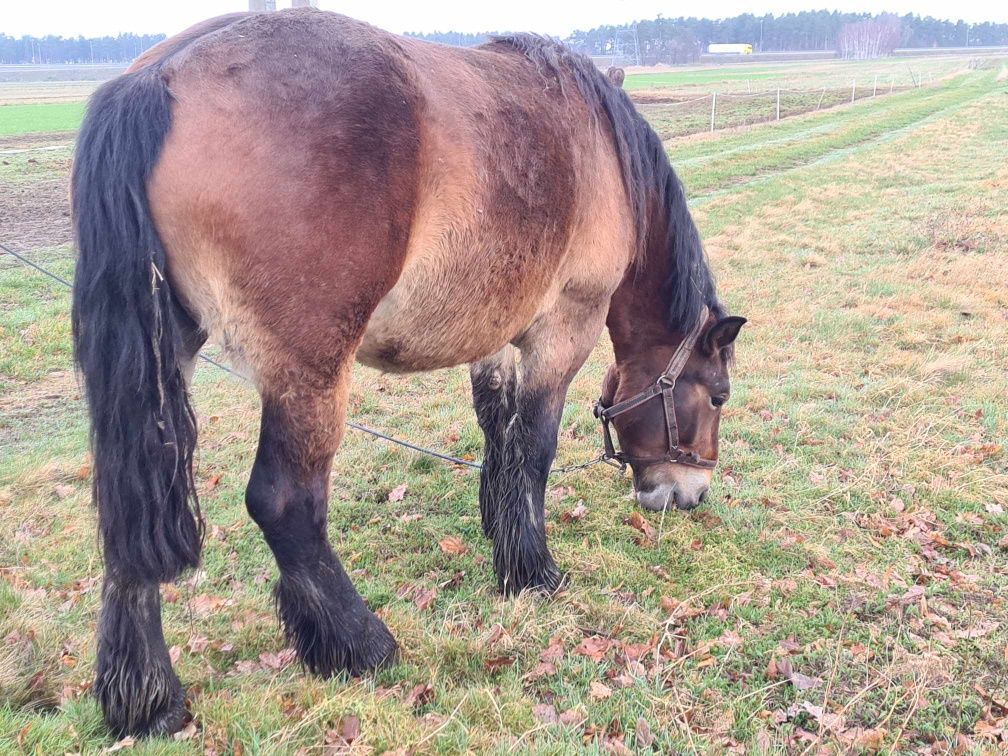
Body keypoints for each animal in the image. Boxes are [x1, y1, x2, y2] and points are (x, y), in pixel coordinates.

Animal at [71, 7, 745, 741]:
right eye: (716, 395)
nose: (688, 496)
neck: (603, 150)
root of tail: (159, 78)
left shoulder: (493, 331)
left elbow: (499, 438)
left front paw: (502, 536)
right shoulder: (563, 326)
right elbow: (534, 448)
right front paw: (533, 570)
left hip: (161, 367)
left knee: (130, 518)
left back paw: (147, 699)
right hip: (310, 374)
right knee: (284, 504)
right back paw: (359, 644)